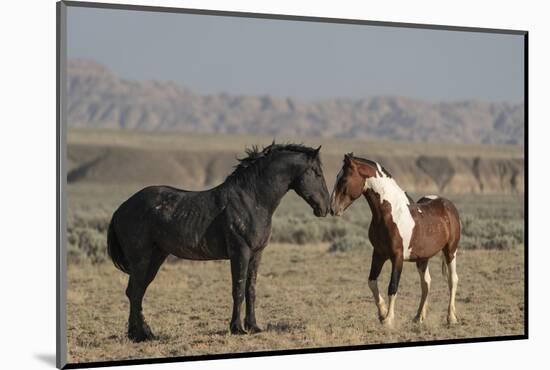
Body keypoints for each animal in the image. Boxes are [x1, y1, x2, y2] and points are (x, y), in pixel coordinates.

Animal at [109, 142, 332, 342]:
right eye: (317, 173)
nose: (325, 208)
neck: (252, 200)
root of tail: (121, 208)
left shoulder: (256, 254)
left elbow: (251, 289)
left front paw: (253, 326)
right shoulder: (240, 253)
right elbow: (238, 289)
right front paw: (237, 328)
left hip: (156, 257)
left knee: (136, 292)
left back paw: (142, 334)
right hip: (142, 260)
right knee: (135, 292)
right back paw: (140, 335)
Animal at [332, 153, 462, 326]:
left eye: (344, 179)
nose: (333, 208)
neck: (390, 214)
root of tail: (448, 205)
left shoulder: (397, 257)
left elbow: (392, 287)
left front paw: (388, 319)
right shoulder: (378, 254)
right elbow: (372, 282)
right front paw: (382, 313)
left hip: (450, 251)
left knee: (452, 280)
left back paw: (451, 317)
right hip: (423, 258)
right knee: (426, 283)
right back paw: (418, 317)